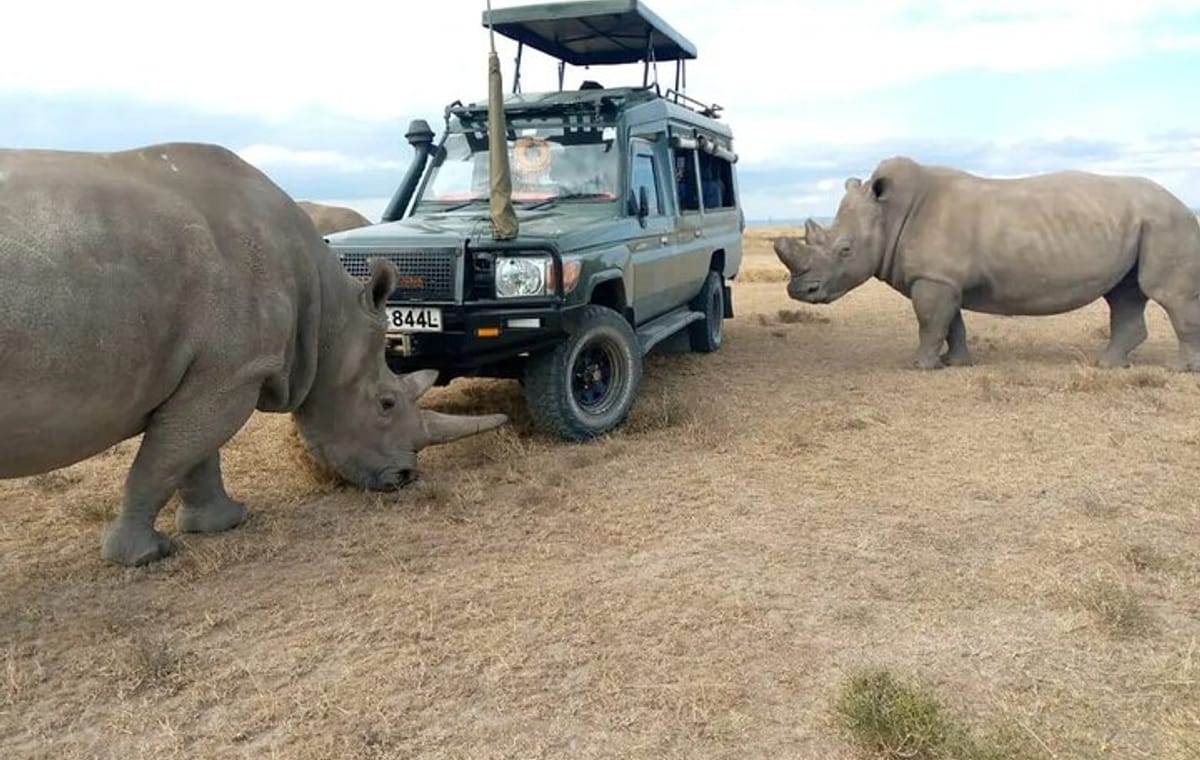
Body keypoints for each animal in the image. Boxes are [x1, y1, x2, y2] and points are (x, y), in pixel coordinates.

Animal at [0, 142, 507, 566]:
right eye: (386, 403)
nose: (404, 477)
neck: (325, 314)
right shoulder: (231, 372)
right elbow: (165, 460)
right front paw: (143, 556)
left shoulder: (217, 372)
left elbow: (192, 454)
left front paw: (221, 523)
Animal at [774, 156, 1200, 370]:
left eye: (845, 250)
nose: (800, 290)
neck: (890, 214)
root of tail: (1180, 200)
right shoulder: (943, 278)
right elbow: (951, 323)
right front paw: (955, 363)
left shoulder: (934, 279)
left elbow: (930, 322)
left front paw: (919, 366)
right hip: (1142, 223)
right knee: (1124, 294)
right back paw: (1106, 365)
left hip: (1167, 221)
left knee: (1166, 294)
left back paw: (1178, 370)